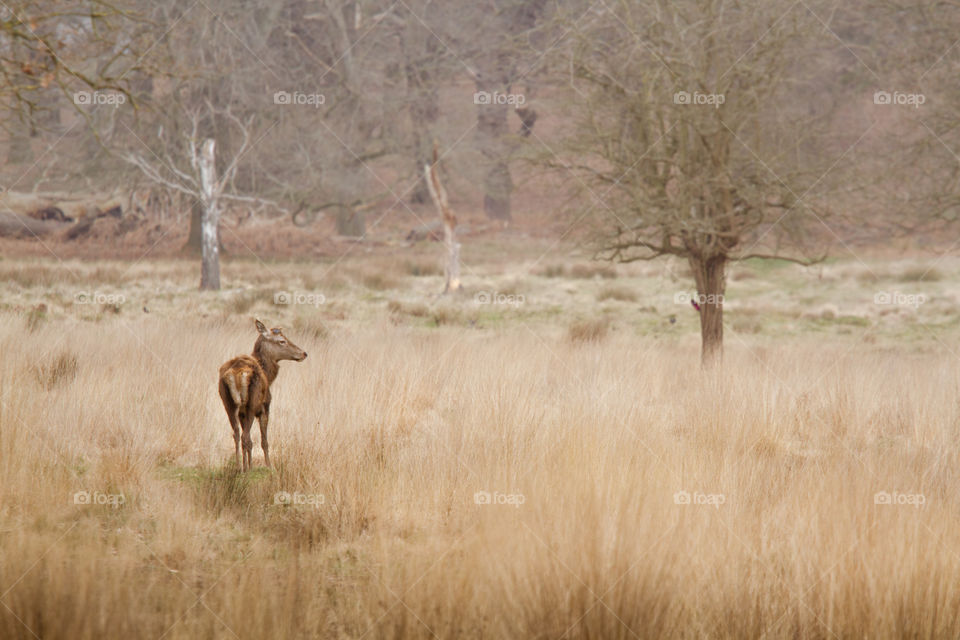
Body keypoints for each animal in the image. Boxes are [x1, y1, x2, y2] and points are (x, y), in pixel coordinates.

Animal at [218, 318, 306, 470]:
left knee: (237, 435)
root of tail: (235, 373)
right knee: (246, 438)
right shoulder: (265, 407)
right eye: (282, 341)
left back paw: (238, 467)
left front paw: (245, 464)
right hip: (252, 404)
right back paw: (249, 469)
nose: (304, 353)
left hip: (228, 403)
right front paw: (269, 466)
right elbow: (264, 441)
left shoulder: (241, 413)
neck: (269, 377)